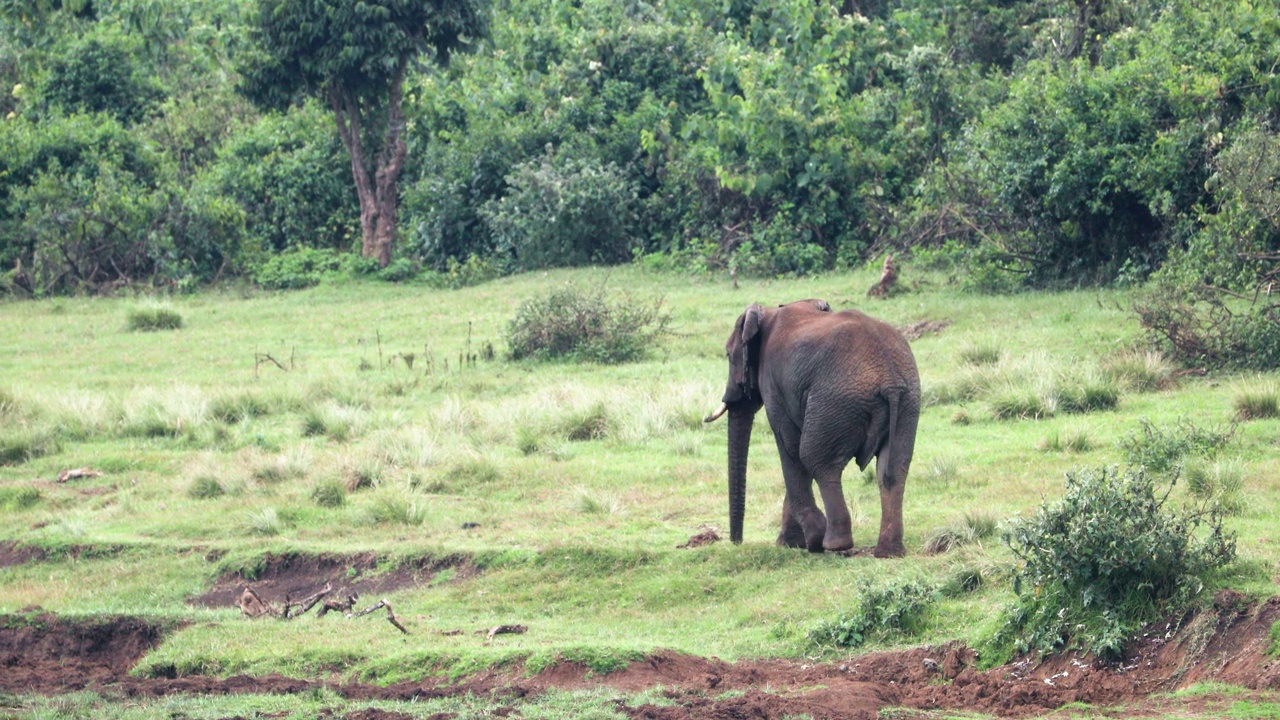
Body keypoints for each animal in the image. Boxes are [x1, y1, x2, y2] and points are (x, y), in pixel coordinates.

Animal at [701, 297, 921, 556]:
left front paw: (802, 542)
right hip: (908, 402)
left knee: (817, 460)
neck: (769, 312)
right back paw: (888, 552)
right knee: (893, 468)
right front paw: (788, 544)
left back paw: (832, 544)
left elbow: (788, 448)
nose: (736, 542)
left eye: (727, 354)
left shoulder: (773, 384)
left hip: (835, 401)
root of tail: (889, 380)